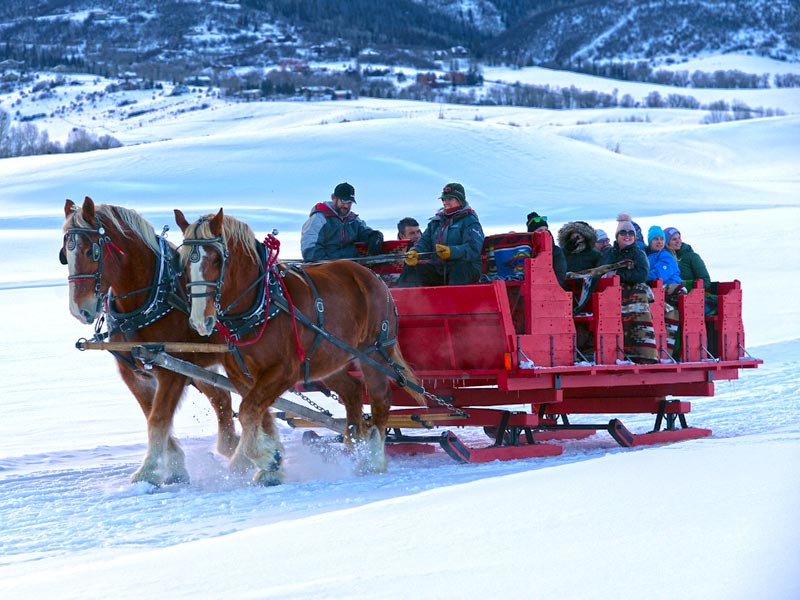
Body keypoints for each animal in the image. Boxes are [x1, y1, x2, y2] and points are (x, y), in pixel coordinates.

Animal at [61, 198, 241, 488]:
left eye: (92, 252)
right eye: (65, 255)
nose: (80, 310)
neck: (152, 298)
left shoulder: (172, 370)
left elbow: (159, 417)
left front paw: (147, 472)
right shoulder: (133, 372)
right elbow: (151, 413)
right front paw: (176, 465)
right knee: (222, 400)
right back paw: (231, 445)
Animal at [175, 209, 424, 486]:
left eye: (217, 259)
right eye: (183, 263)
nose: (201, 320)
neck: (260, 305)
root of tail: (373, 277)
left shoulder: (283, 372)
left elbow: (249, 411)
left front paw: (257, 460)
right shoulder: (241, 376)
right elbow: (259, 414)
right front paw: (269, 462)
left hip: (374, 353)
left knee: (381, 400)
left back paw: (372, 460)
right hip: (329, 357)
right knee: (352, 391)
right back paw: (355, 443)